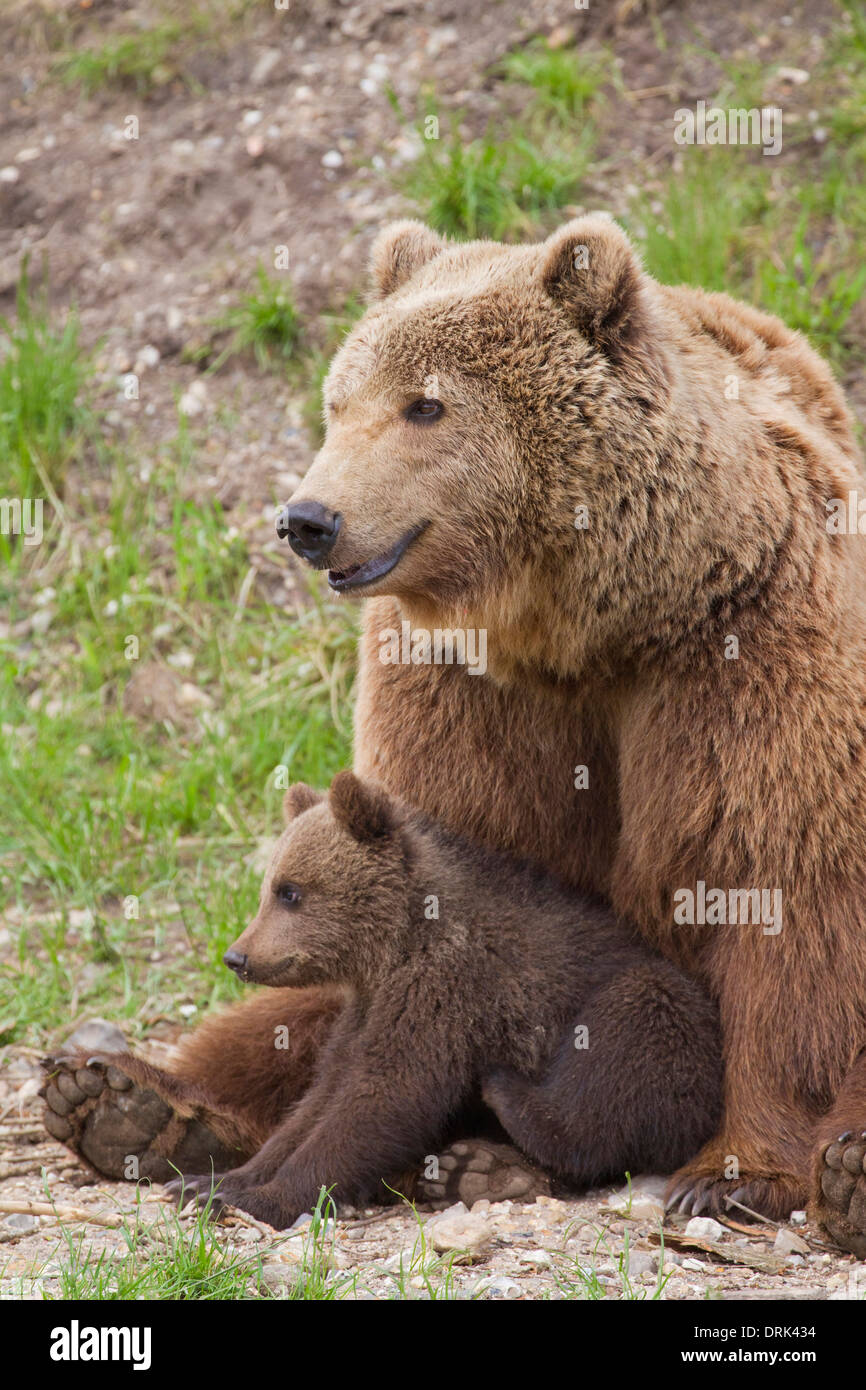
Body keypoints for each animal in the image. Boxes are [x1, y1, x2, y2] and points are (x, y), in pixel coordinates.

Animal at [44, 216, 866, 1262]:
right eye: (337, 403)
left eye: (424, 405)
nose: (308, 520)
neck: (590, 621)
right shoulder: (455, 690)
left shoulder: (748, 652)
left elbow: (780, 893)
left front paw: (734, 1175)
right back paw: (130, 1102)